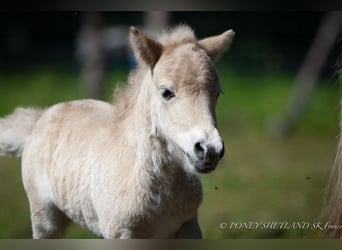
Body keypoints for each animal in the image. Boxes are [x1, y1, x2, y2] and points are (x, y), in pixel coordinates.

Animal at [0, 25, 235, 238]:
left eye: (217, 93)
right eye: (167, 92)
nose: (209, 150)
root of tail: (43, 116)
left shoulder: (188, 226)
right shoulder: (123, 233)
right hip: (45, 219)